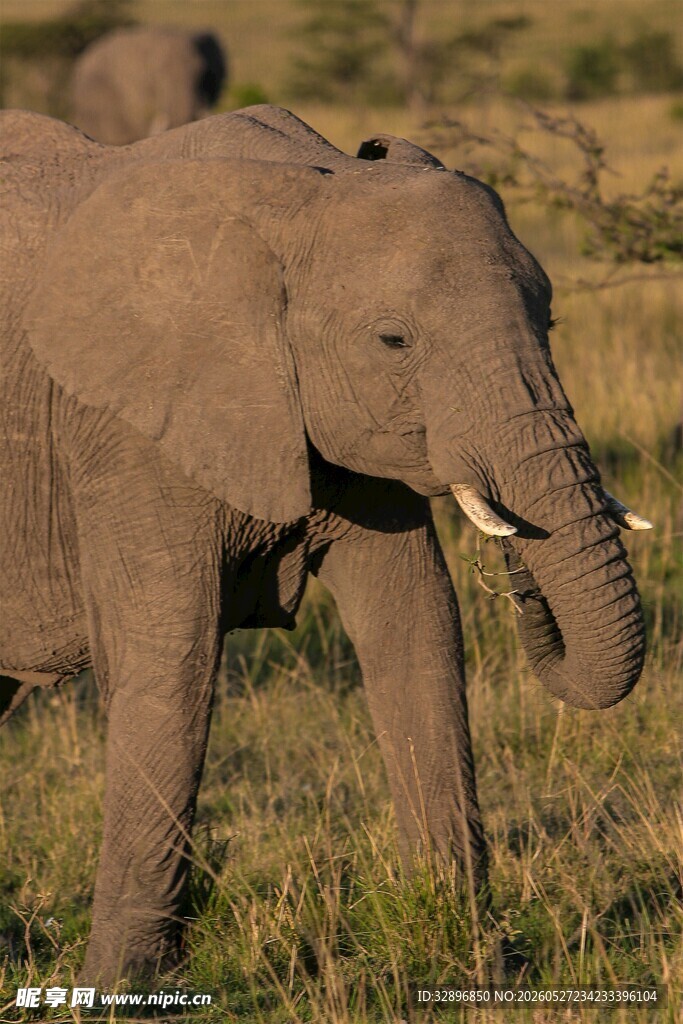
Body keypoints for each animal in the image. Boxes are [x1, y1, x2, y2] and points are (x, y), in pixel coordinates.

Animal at [0, 104, 652, 983]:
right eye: (392, 342)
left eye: (548, 321)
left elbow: (415, 623)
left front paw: (475, 955)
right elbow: (171, 654)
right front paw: (119, 983)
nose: (518, 573)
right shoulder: (124, 427)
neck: (303, 196)